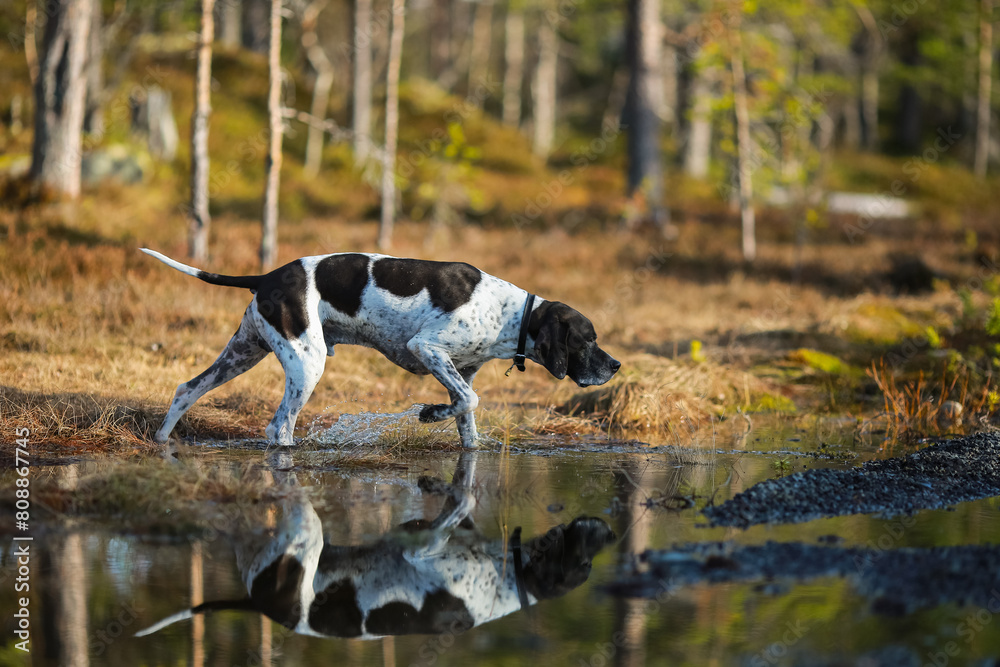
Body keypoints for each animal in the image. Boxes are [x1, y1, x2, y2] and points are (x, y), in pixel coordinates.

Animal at [140, 250, 616, 448]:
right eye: (588, 338)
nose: (615, 365)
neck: (510, 313)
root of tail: (268, 276)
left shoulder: (460, 371)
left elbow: (467, 416)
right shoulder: (427, 348)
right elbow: (469, 400)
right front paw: (429, 414)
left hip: (243, 353)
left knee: (187, 388)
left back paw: (162, 441)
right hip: (305, 366)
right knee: (278, 429)